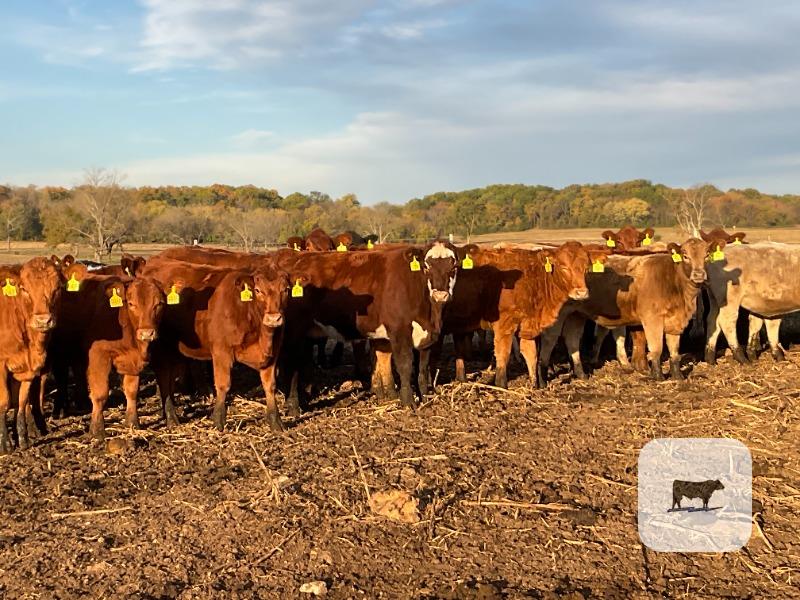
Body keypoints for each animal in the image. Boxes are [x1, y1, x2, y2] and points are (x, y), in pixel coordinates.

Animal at [0, 257, 63, 452]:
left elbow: (21, 402)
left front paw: (22, 438)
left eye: (57, 288)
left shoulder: (27, 370)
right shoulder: (1, 366)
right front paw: (5, 443)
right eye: (24, 289)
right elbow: (5, 402)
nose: (43, 320)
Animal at [48, 266, 167, 440]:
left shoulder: (133, 361)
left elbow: (132, 391)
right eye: (131, 304)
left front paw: (132, 423)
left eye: (159, 304)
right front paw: (97, 430)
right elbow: (100, 394)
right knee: (61, 378)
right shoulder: (98, 355)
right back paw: (60, 410)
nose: (147, 333)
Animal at [141, 256, 303, 432]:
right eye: (258, 290)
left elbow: (270, 385)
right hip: (161, 347)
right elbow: (223, 385)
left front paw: (276, 421)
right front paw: (218, 420)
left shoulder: (272, 353)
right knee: (163, 377)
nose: (274, 319)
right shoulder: (221, 352)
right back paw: (171, 417)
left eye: (286, 289)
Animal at [433, 242, 600, 389]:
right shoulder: (504, 325)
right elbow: (503, 355)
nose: (582, 293)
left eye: (587, 268)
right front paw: (502, 385)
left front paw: (535, 385)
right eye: (564, 266)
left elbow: (531, 354)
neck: (531, 279)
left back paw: (461, 379)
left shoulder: (527, 324)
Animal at [540, 239, 717, 382]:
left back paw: (581, 374)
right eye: (685, 256)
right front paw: (658, 376)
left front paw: (678, 376)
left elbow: (674, 351)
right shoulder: (652, 320)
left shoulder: (675, 322)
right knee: (549, 340)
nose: (699, 274)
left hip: (576, 315)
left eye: (707, 255)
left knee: (572, 340)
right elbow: (657, 348)